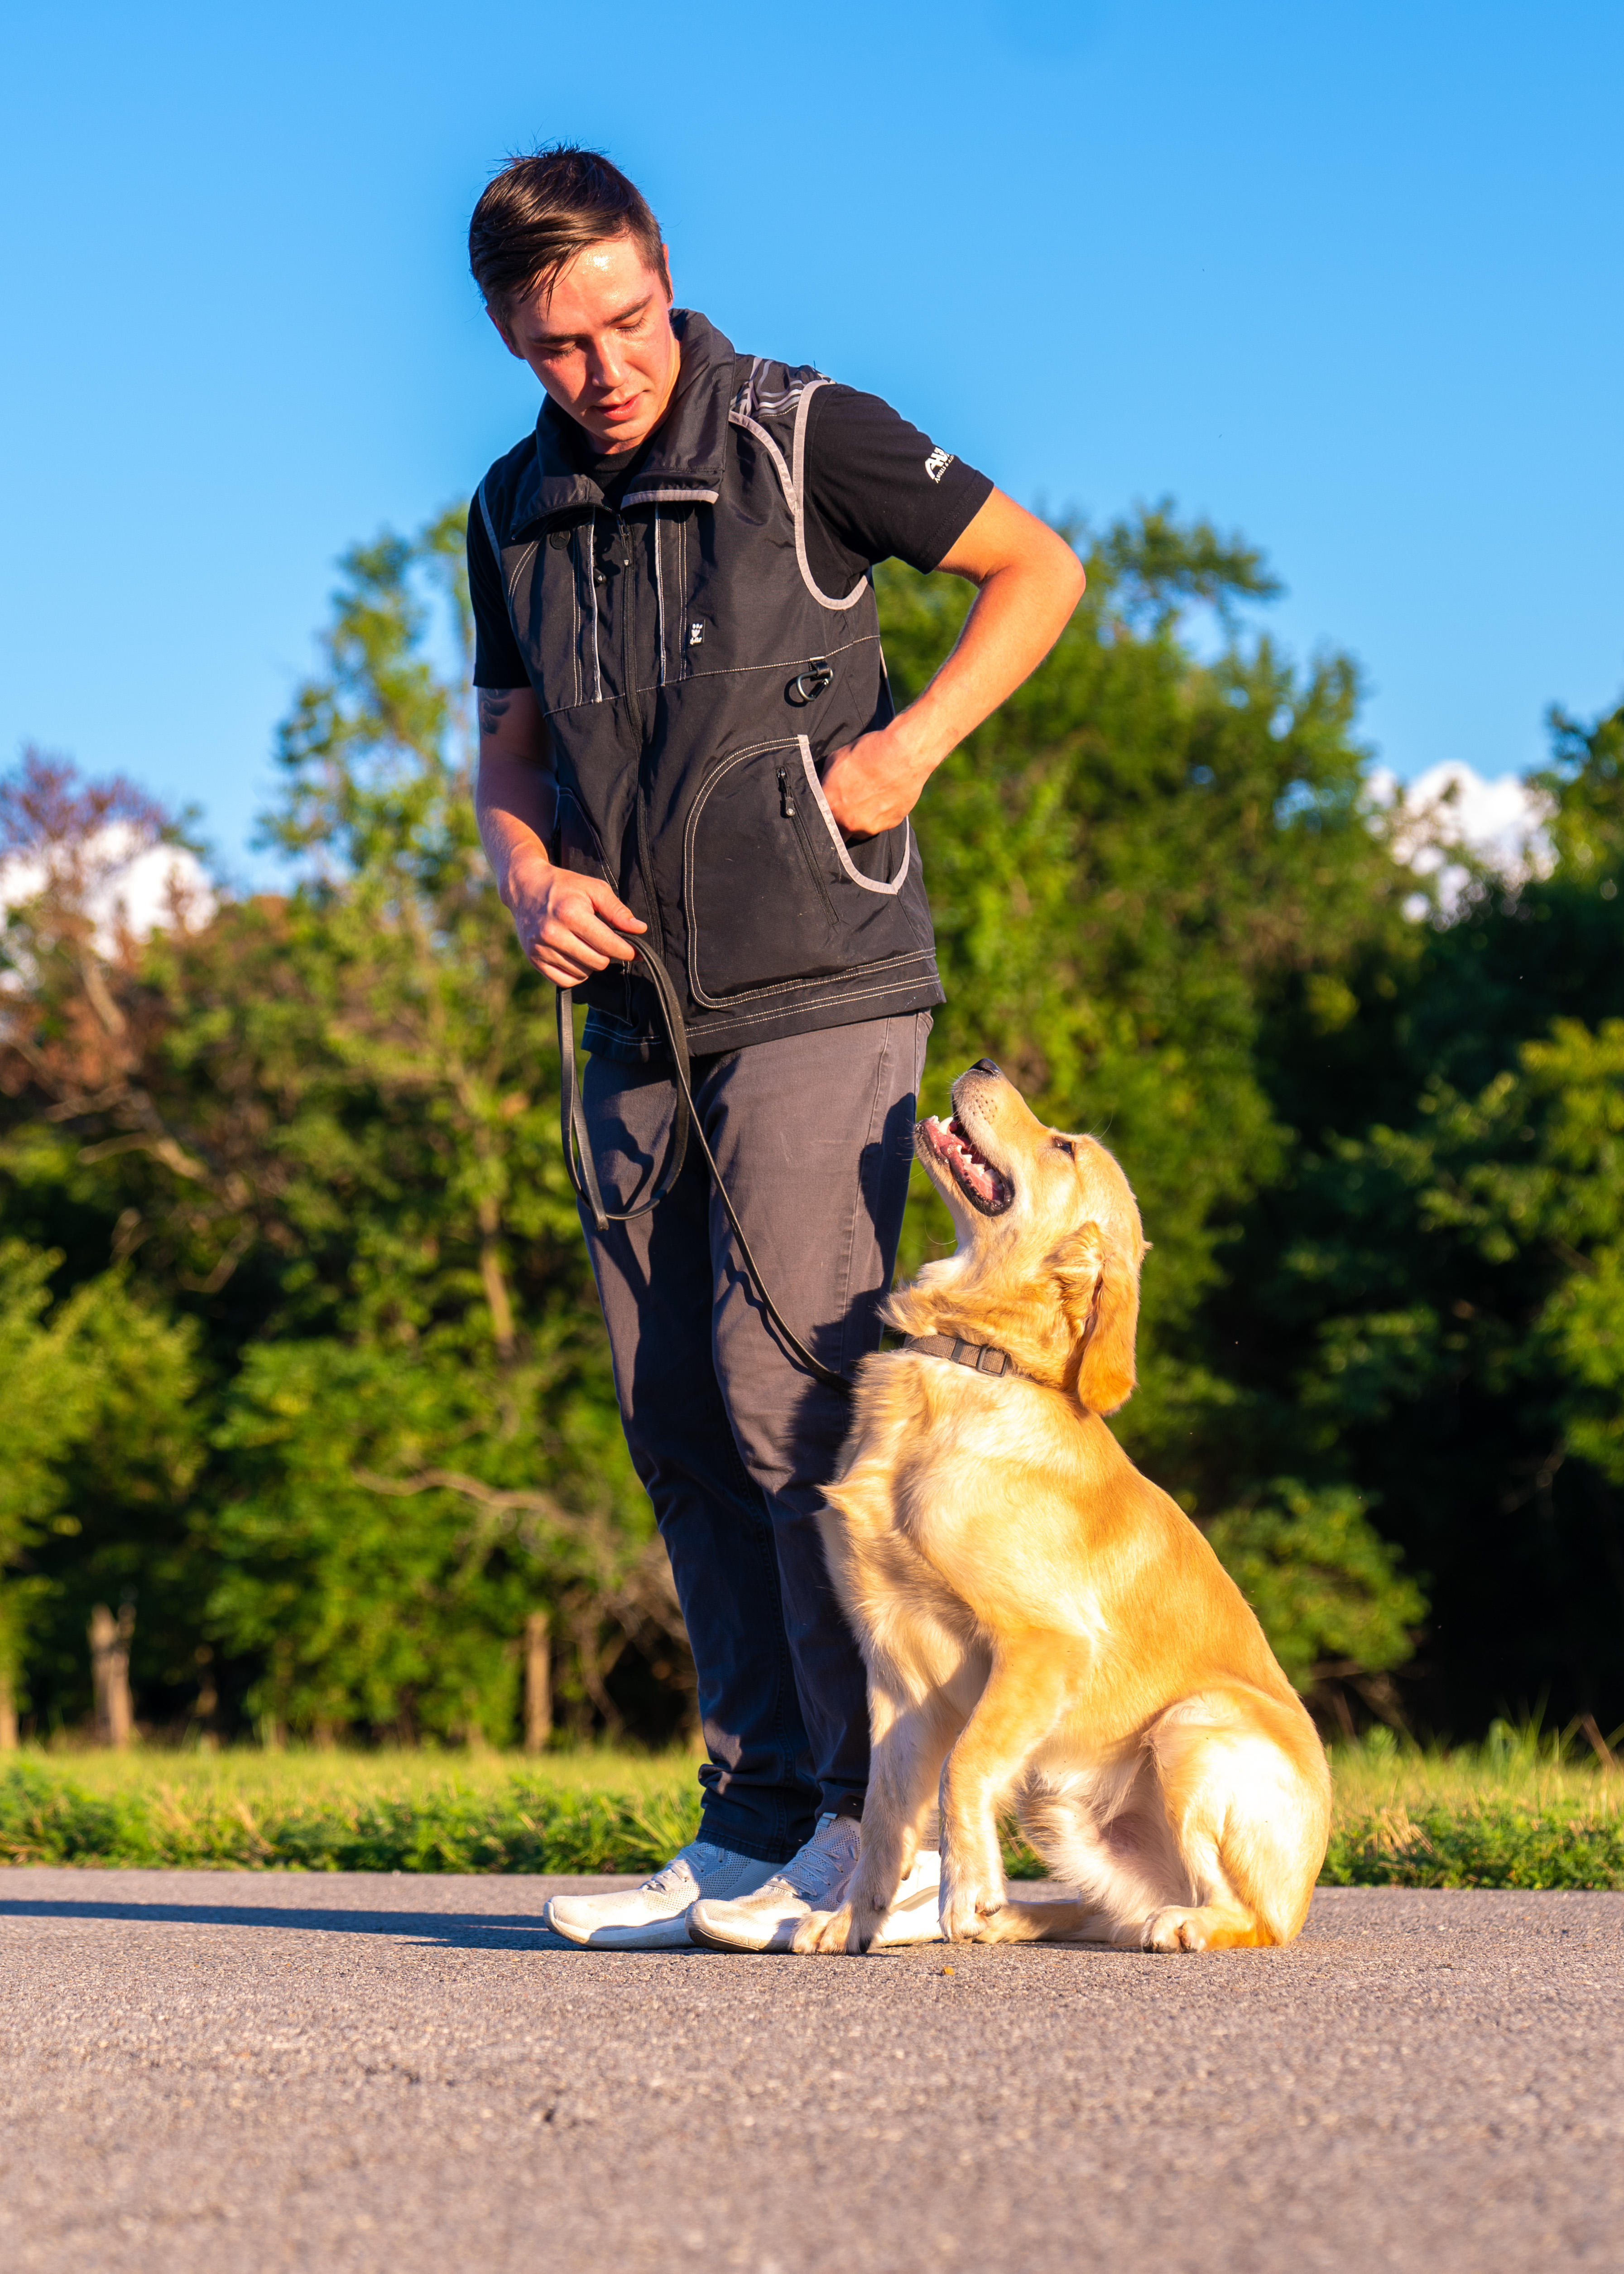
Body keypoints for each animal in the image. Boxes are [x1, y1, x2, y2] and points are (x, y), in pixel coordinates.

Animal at [800, 1064, 1328, 1956]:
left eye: (1063, 1148)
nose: (983, 1067)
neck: (980, 1359)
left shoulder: (1040, 1643)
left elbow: (965, 1766)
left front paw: (963, 1891)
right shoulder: (895, 1666)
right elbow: (883, 1814)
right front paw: (852, 1922)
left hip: (1191, 1730)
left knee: (1245, 1915)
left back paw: (1180, 1924)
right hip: (1059, 1800)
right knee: (1104, 1907)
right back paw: (1021, 1918)